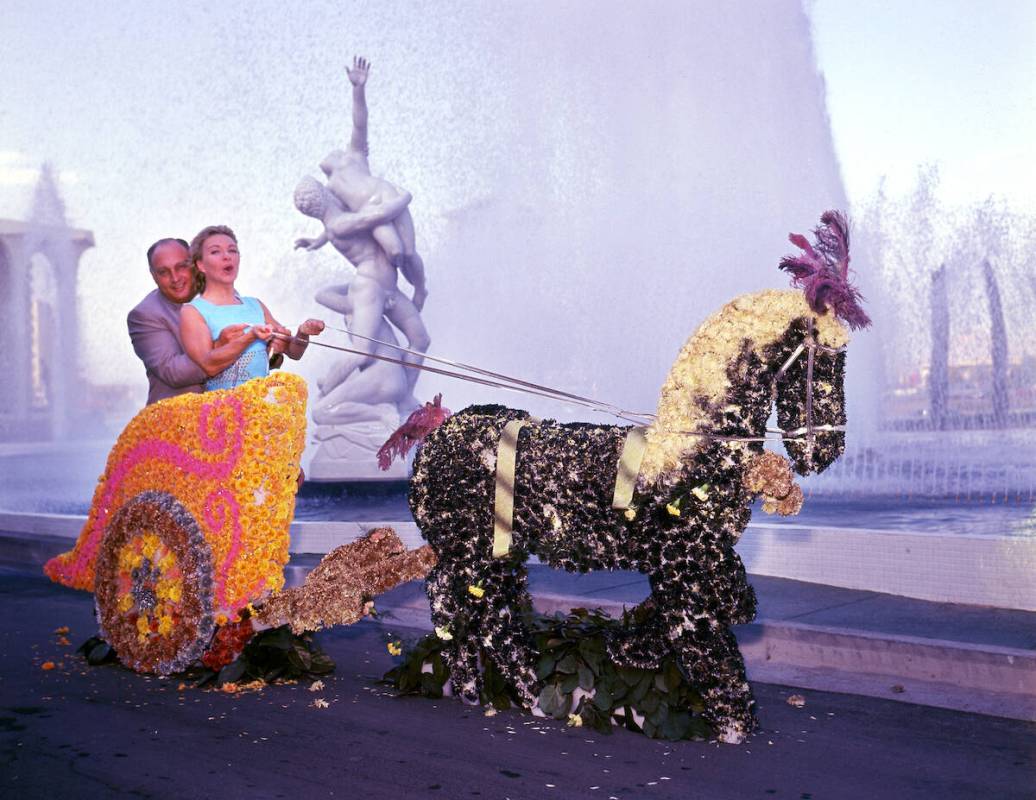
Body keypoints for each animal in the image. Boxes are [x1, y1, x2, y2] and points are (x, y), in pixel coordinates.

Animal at [408, 211, 870, 741]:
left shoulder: (700, 561)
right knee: (475, 613)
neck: (696, 446)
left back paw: (489, 689)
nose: (827, 449)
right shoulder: (687, 563)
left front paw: (632, 646)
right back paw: (510, 691)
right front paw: (734, 724)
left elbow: (732, 606)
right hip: (477, 554)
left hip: (488, 554)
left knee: (467, 607)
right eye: (826, 365)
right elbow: (708, 635)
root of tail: (435, 437)